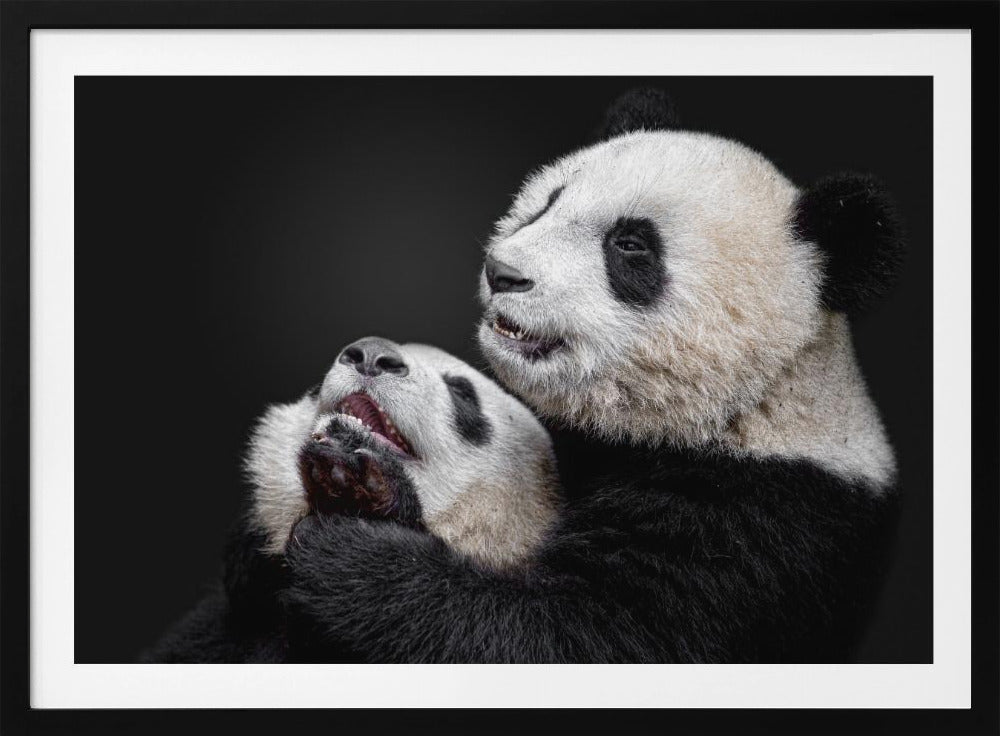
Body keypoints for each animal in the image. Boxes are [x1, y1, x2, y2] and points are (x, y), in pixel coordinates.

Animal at [280, 89, 905, 663]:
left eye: (630, 245)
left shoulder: (756, 524)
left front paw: (353, 537)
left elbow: (576, 637)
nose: (503, 272)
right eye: (547, 203)